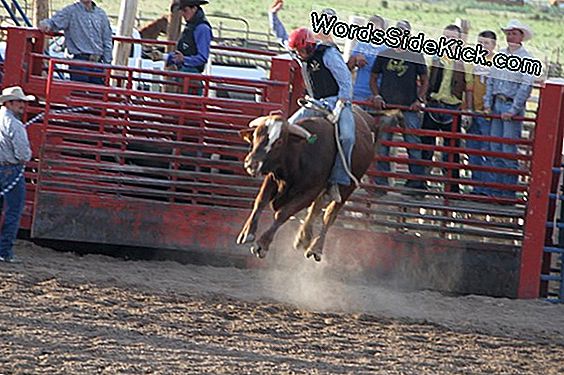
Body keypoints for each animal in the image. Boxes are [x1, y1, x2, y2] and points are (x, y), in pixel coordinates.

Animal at [236, 106, 382, 262]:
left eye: (279, 142)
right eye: (255, 135)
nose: (251, 163)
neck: (299, 156)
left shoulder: (309, 192)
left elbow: (283, 213)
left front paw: (262, 244)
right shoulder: (273, 178)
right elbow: (260, 202)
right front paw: (247, 233)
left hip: (347, 188)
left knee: (329, 215)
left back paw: (315, 248)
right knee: (316, 208)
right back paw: (303, 238)